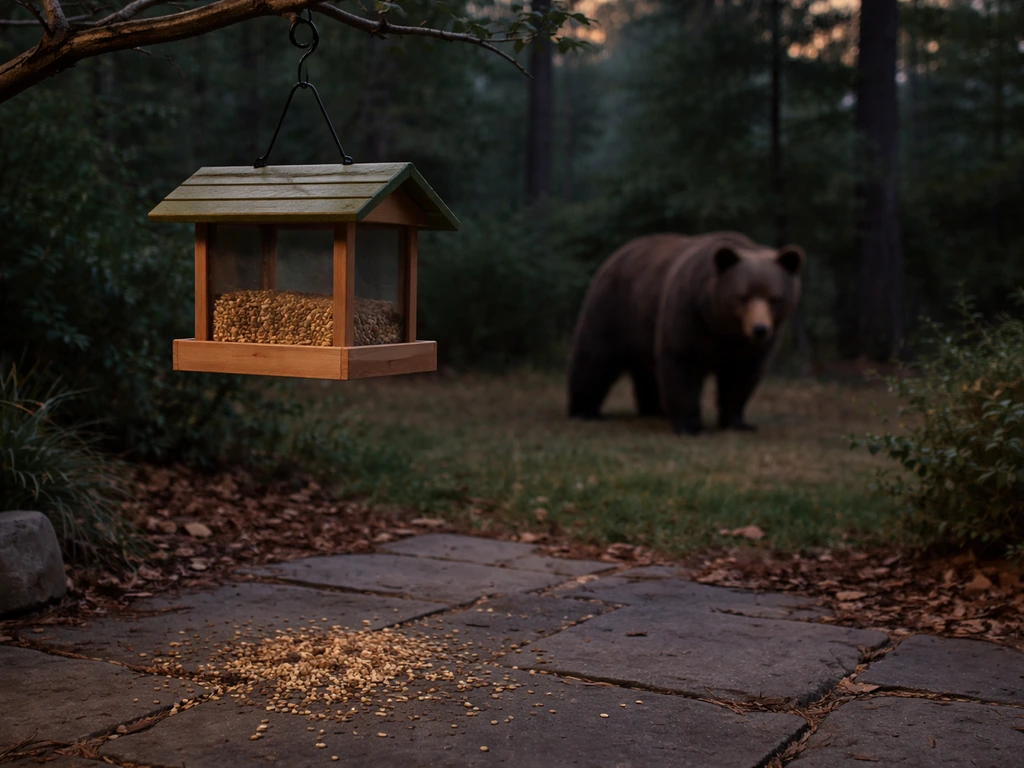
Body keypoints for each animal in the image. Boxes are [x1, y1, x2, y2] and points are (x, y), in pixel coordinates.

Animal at [567, 231, 805, 435]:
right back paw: (584, 411)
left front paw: (739, 423)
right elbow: (682, 364)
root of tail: (618, 253)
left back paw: (654, 409)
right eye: (743, 297)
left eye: (774, 298)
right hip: (614, 309)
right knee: (596, 358)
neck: (720, 324)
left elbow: (741, 376)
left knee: (647, 371)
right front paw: (690, 426)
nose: (759, 329)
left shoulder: (748, 347)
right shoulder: (688, 315)